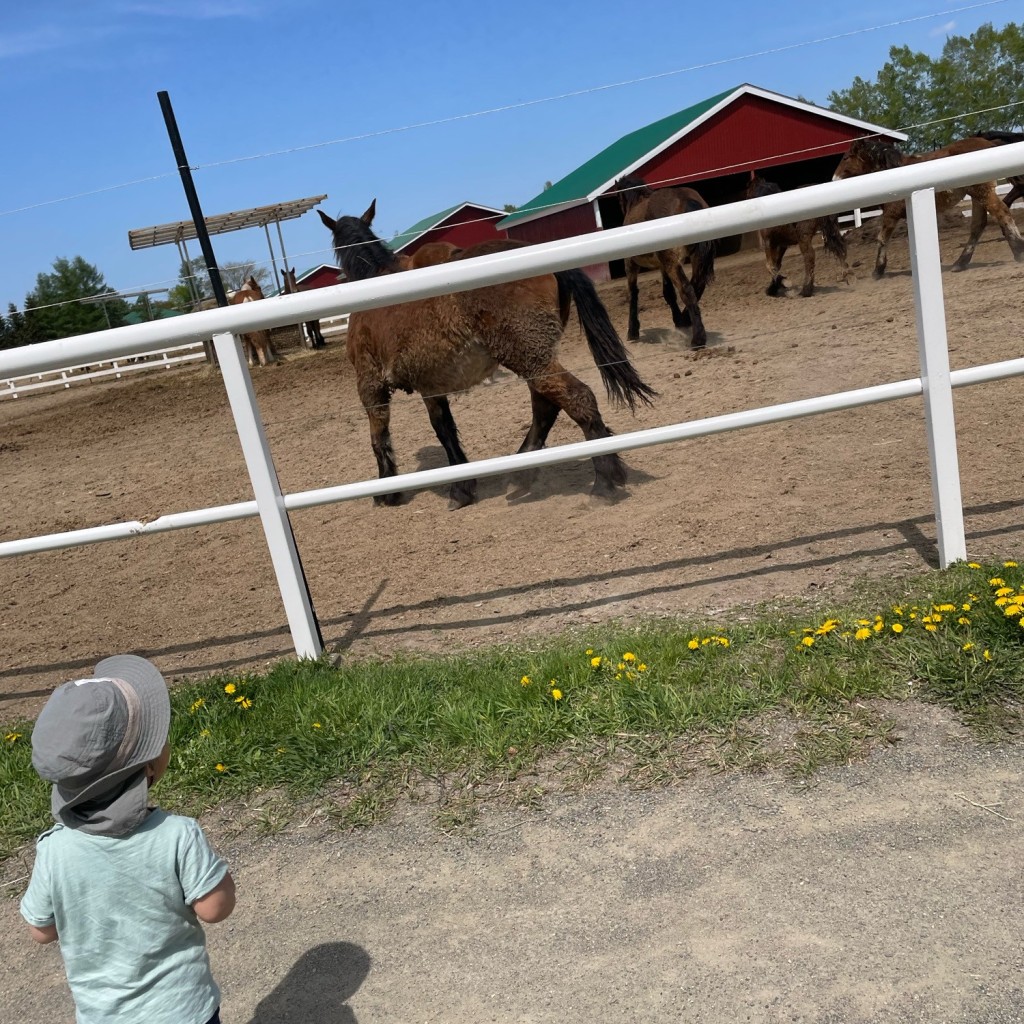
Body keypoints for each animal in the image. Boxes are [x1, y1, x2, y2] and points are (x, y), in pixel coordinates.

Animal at [317, 198, 655, 507]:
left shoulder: (371, 383)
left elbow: (380, 436)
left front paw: (388, 492)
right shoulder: (431, 385)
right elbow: (444, 430)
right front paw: (462, 487)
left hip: (529, 356)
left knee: (576, 398)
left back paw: (603, 481)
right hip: (534, 357)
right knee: (545, 406)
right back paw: (523, 472)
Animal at [610, 176, 716, 348]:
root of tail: (686, 200)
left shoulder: (630, 264)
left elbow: (633, 294)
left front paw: (632, 331)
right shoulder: (662, 265)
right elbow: (668, 292)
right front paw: (678, 320)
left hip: (671, 262)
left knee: (687, 289)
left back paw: (698, 339)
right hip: (690, 260)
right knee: (697, 285)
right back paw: (686, 320)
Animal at [831, 138, 1024, 280]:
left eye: (846, 158)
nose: (833, 179)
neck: (892, 172)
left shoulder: (891, 214)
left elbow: (882, 239)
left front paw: (878, 271)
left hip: (982, 192)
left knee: (1002, 213)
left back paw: (1019, 252)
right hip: (977, 195)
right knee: (978, 225)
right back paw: (960, 263)